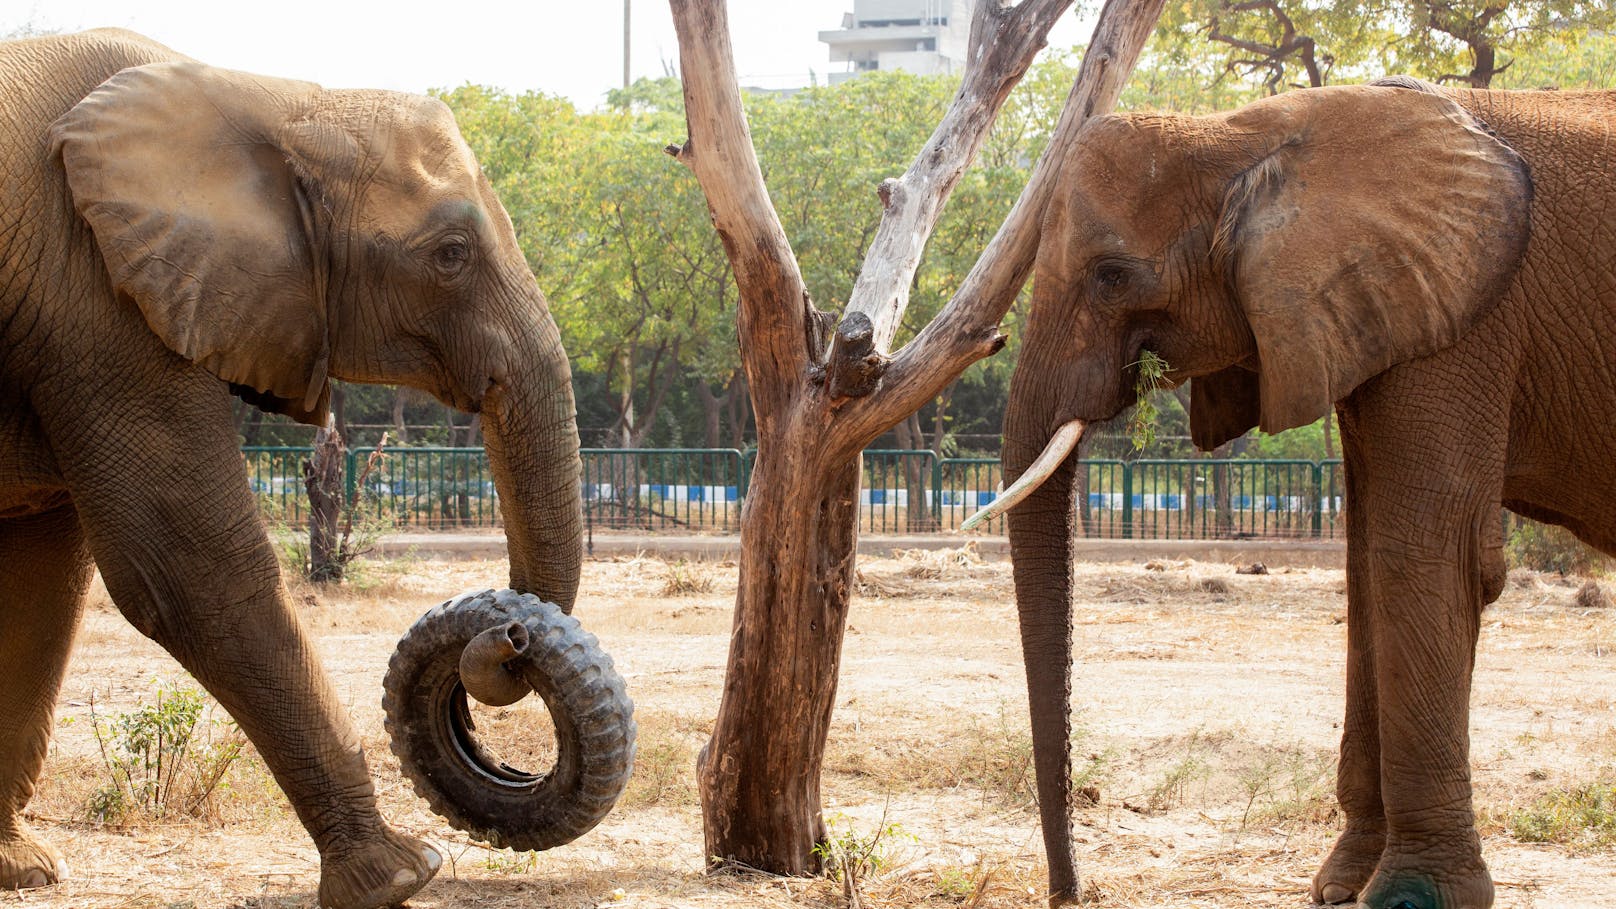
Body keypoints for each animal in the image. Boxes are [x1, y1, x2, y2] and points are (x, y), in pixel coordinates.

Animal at [1, 28, 630, 905]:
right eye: (450, 254)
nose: (510, 636)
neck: (277, 99)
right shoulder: (95, 294)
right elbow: (186, 570)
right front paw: (402, 874)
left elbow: (42, 583)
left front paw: (21, 870)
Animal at [995, 79, 1616, 905]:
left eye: (1112, 275)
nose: (1072, 890)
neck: (1248, 132)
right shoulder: (1375, 314)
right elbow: (1367, 565)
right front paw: (1341, 885)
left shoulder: (1469, 318)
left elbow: (1428, 556)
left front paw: (1408, 897)